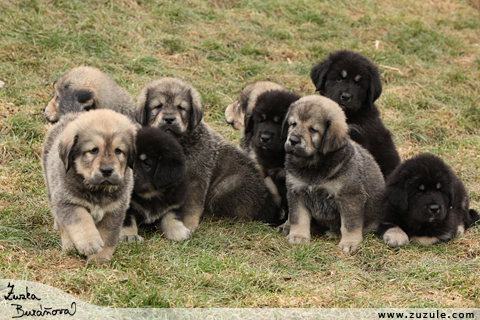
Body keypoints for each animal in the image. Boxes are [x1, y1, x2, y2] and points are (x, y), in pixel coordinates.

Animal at [41, 109, 137, 262]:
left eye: (118, 151)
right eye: (93, 150)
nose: (107, 170)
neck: (98, 189)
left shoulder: (114, 211)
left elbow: (108, 236)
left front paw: (99, 260)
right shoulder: (66, 202)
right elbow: (81, 221)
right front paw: (89, 243)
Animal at [136, 77, 282, 240]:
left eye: (181, 108)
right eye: (158, 106)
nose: (169, 118)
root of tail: (266, 200)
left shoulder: (195, 180)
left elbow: (190, 208)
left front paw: (187, 226)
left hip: (224, 189)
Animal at [284, 95, 384, 255]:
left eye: (313, 130)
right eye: (293, 124)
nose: (293, 140)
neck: (313, 166)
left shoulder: (350, 196)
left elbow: (350, 224)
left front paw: (350, 243)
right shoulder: (296, 191)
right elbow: (298, 217)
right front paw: (298, 236)